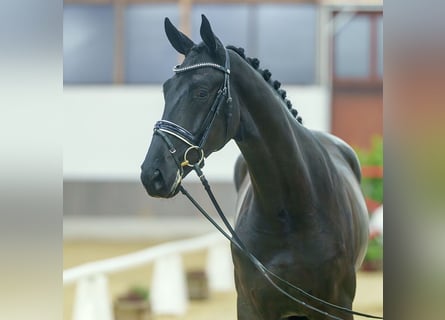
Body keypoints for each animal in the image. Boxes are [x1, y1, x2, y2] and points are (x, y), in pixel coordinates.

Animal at [141, 15, 368, 320]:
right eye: (166, 89)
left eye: (201, 92)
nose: (152, 174)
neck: (290, 209)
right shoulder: (250, 305)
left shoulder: (338, 307)